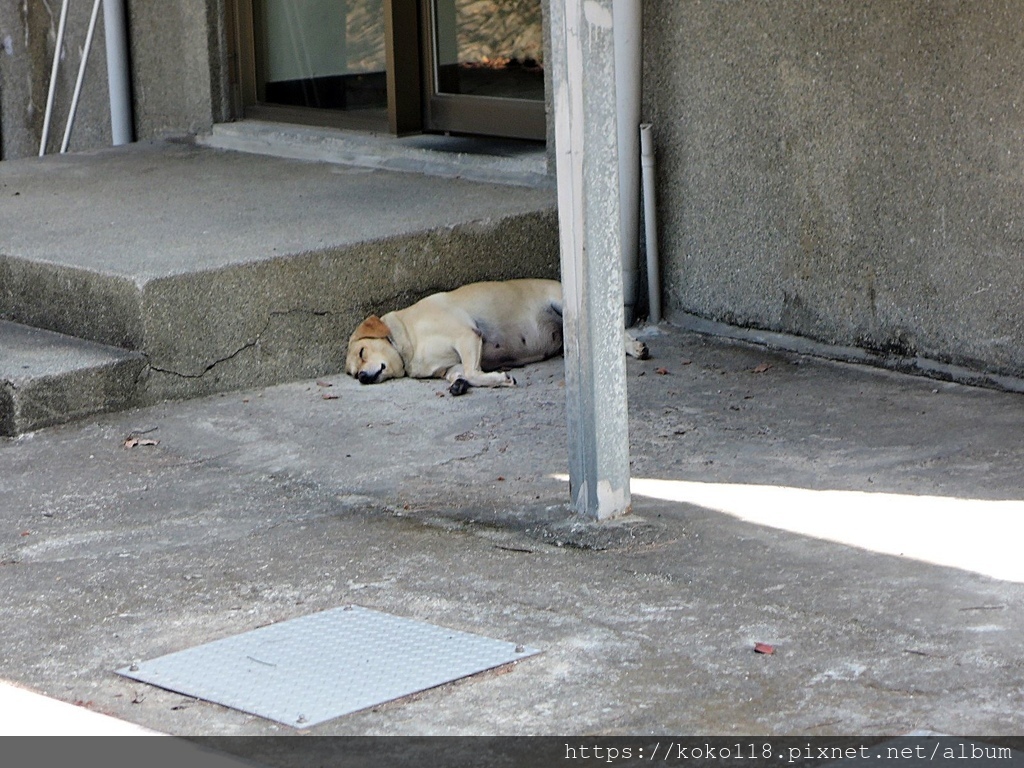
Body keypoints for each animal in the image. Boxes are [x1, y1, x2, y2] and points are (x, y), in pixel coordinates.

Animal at [344, 280, 647, 397]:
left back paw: (634, 347)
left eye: (362, 352)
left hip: (562, 303)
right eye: (352, 373)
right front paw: (461, 385)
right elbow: (461, 374)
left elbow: (472, 371)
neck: (407, 336)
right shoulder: (450, 367)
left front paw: (500, 378)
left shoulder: (467, 336)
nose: (362, 378)